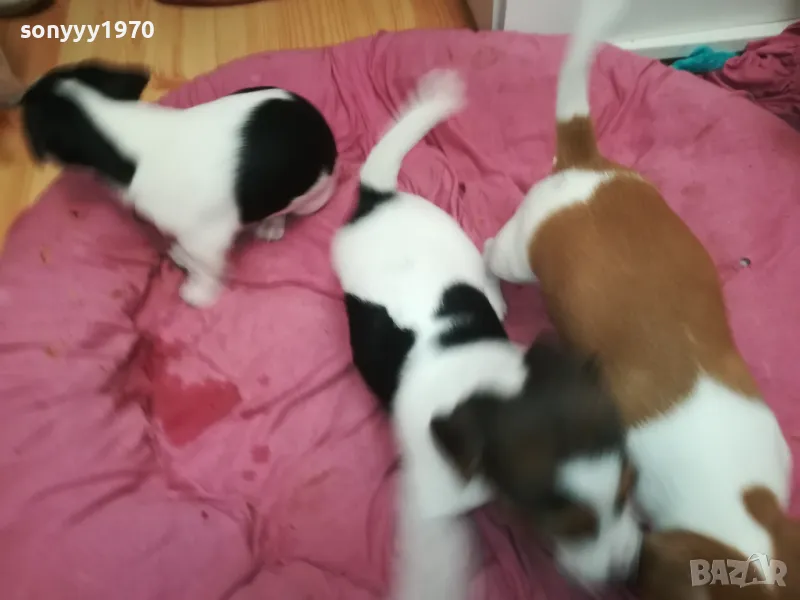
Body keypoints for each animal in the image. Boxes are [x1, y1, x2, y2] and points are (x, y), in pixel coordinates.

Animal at [18, 60, 337, 307]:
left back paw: (272, 224)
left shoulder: (207, 239)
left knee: (286, 208)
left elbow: (206, 270)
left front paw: (199, 293)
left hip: (313, 197)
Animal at [330, 69, 638, 599]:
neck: (488, 385)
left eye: (626, 492)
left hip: (455, 240)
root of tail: (377, 200)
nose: (626, 573)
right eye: (569, 526)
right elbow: (437, 567)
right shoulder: (433, 509)